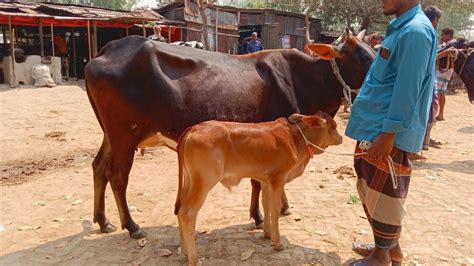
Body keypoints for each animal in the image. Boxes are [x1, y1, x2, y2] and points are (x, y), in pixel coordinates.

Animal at [176, 111, 342, 264]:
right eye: (333, 126)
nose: (341, 138)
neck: (295, 139)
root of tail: (195, 128)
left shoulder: (265, 181)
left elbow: (265, 204)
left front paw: (267, 233)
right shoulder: (278, 180)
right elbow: (275, 209)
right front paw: (277, 243)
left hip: (190, 181)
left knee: (179, 209)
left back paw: (184, 251)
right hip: (203, 182)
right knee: (187, 213)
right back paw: (194, 258)